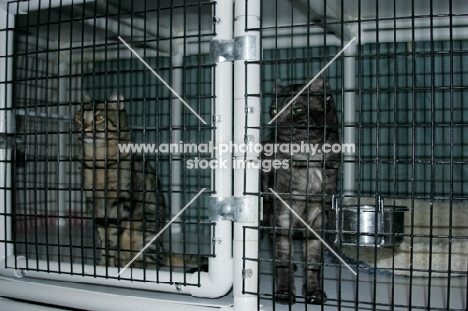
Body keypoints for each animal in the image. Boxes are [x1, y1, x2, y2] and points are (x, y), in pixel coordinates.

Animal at [75, 94, 207, 270]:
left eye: (99, 117)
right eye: (79, 117)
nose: (84, 127)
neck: (98, 161)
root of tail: (163, 249)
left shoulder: (121, 202)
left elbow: (111, 237)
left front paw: (108, 264)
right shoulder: (95, 204)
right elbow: (103, 237)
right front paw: (103, 264)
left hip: (142, 227)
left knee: (152, 262)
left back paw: (129, 264)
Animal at [264, 79, 340, 306]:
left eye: (297, 109)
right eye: (273, 110)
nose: (274, 122)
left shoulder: (319, 215)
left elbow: (314, 260)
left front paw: (314, 293)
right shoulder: (281, 213)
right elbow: (282, 256)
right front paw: (283, 293)